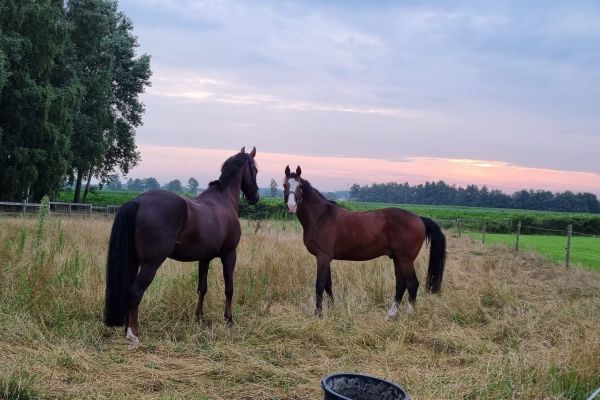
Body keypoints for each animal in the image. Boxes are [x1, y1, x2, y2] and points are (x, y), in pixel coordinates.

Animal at [104, 147, 258, 344]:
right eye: (255, 170)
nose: (256, 197)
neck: (223, 200)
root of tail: (137, 201)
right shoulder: (230, 254)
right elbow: (229, 288)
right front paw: (229, 320)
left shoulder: (205, 258)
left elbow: (202, 288)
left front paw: (199, 318)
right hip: (151, 263)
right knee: (135, 291)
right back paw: (133, 334)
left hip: (134, 260)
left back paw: (127, 330)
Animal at [284, 164, 446, 318]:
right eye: (285, 185)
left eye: (299, 187)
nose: (291, 206)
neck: (321, 217)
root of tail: (419, 218)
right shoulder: (325, 257)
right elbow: (328, 285)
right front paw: (332, 309)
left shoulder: (323, 257)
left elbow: (319, 285)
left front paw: (318, 314)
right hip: (398, 259)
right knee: (401, 285)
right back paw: (391, 315)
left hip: (406, 259)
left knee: (412, 284)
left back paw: (408, 314)